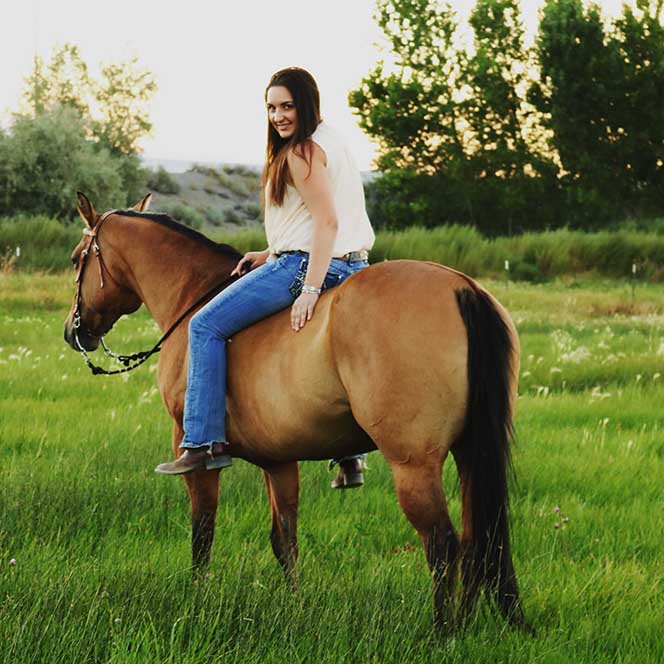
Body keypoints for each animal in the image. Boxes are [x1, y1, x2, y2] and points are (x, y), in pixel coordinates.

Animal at [65, 193, 528, 632]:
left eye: (76, 258)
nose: (74, 332)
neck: (194, 296)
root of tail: (461, 287)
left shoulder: (195, 453)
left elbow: (203, 529)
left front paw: (198, 594)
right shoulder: (280, 461)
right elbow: (284, 539)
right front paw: (296, 603)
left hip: (413, 465)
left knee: (442, 543)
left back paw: (444, 632)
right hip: (470, 454)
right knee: (478, 540)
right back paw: (466, 622)